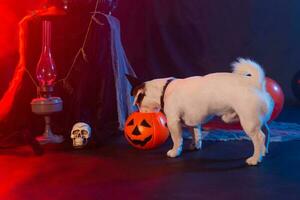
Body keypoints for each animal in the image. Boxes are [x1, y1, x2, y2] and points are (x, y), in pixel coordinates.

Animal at [126, 58, 274, 166]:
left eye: (138, 103)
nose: (138, 112)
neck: (164, 90)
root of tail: (256, 84)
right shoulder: (193, 122)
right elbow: (196, 134)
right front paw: (195, 145)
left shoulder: (173, 122)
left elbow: (177, 139)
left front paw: (175, 152)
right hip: (256, 120)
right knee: (266, 131)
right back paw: (264, 151)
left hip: (248, 122)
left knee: (259, 137)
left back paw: (255, 159)